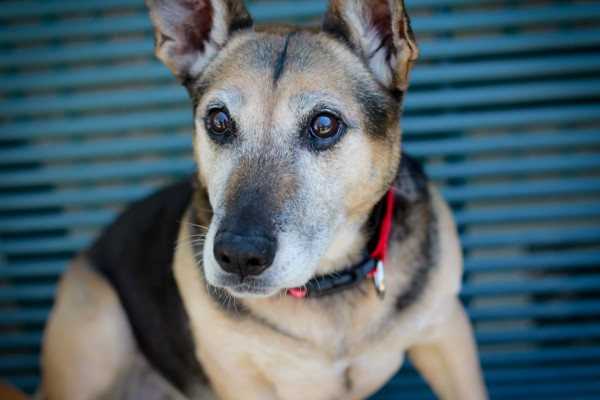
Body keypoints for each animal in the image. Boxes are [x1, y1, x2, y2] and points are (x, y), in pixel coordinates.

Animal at [44, 0, 490, 400]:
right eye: (218, 121)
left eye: (324, 125)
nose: (239, 256)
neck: (326, 285)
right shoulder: (238, 376)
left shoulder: (446, 333)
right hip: (99, 326)